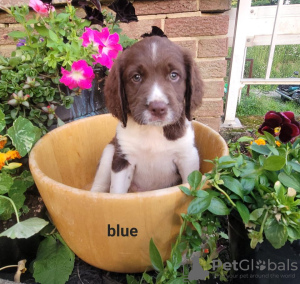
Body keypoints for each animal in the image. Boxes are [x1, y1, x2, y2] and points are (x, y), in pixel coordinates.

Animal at [90, 35, 203, 194]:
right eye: (136, 77)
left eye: (174, 75)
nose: (158, 108)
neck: (153, 130)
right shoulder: (122, 160)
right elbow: (116, 192)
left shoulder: (188, 156)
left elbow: (190, 186)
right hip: (109, 152)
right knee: (98, 188)